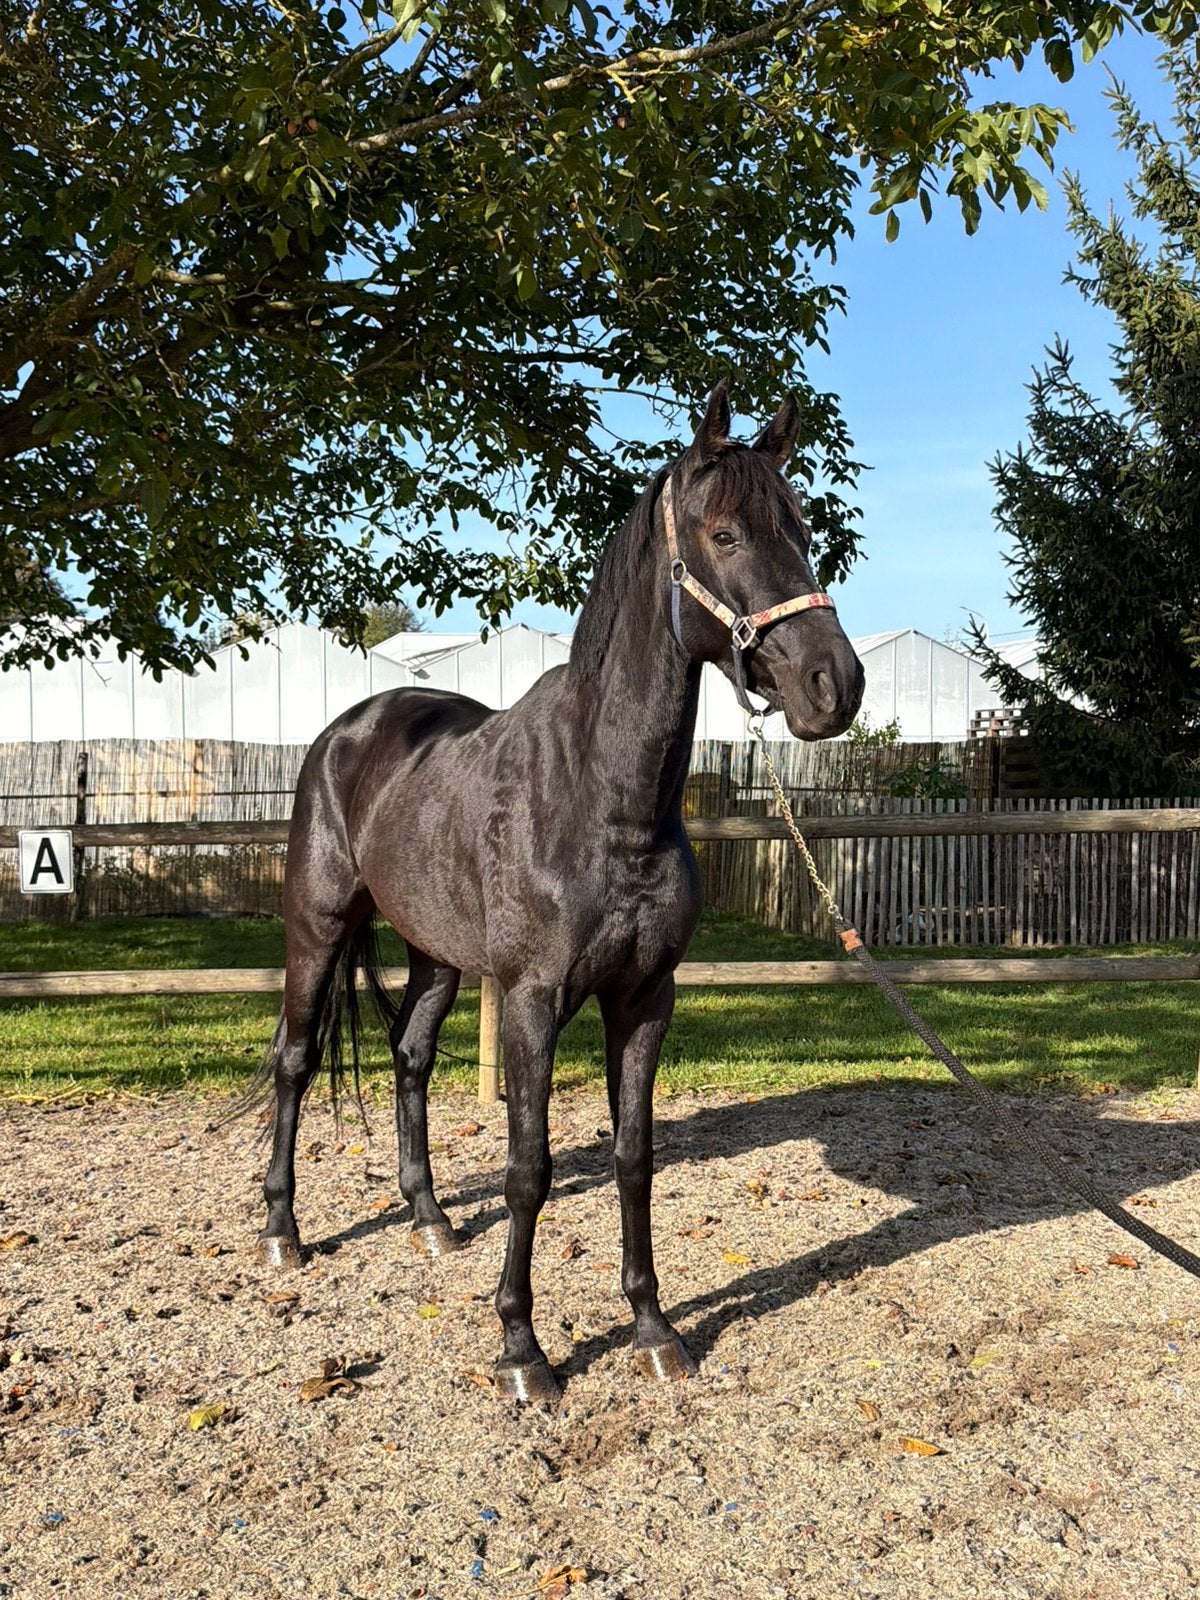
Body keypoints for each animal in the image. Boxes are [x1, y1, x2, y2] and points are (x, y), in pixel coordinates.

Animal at [251, 383, 864, 1402]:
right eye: (727, 534)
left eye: (804, 531)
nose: (835, 685)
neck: (603, 798)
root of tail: (351, 729)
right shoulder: (534, 1002)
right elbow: (528, 1169)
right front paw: (522, 1349)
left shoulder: (645, 997)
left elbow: (633, 1156)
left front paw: (654, 1329)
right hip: (319, 928)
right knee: (295, 1062)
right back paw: (281, 1233)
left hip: (436, 957)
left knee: (409, 1056)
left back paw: (429, 1220)